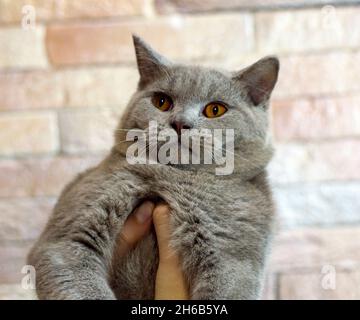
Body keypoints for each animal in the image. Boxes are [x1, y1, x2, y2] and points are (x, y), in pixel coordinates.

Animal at [28, 35, 280, 300]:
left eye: (215, 109)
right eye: (162, 102)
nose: (180, 123)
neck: (172, 178)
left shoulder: (232, 258)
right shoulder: (66, 239)